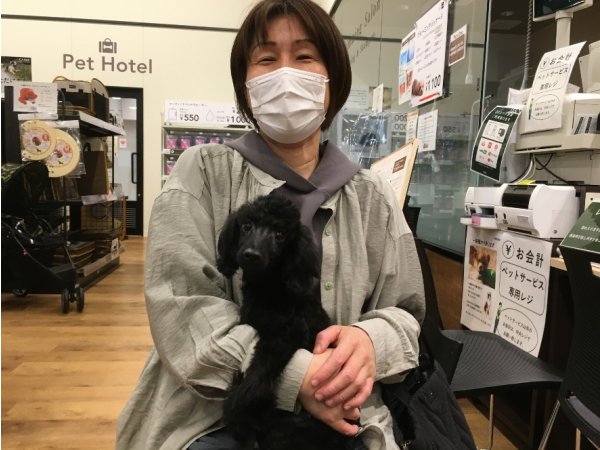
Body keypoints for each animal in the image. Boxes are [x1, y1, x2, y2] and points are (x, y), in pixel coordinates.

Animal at [216, 195, 356, 450]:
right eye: (246, 226)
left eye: (280, 235)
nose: (252, 254)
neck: (270, 287)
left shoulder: (286, 336)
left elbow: (256, 378)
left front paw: (237, 410)